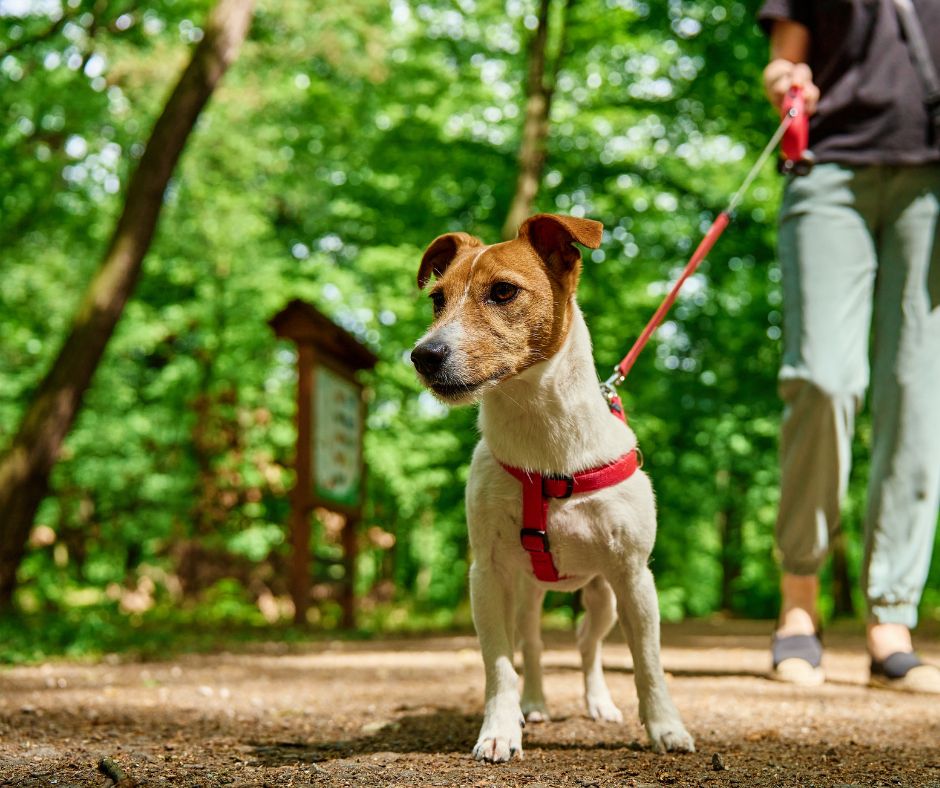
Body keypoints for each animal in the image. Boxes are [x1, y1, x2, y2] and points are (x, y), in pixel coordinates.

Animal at [410, 214, 692, 764]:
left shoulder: (634, 577)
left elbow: (648, 663)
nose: (423, 355)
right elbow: (499, 664)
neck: (544, 445)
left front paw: (666, 727)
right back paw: (534, 704)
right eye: (437, 298)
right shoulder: (487, 576)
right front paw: (500, 730)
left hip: (605, 596)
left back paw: (598, 702)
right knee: (534, 645)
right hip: (526, 593)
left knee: (588, 644)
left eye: (502, 291)